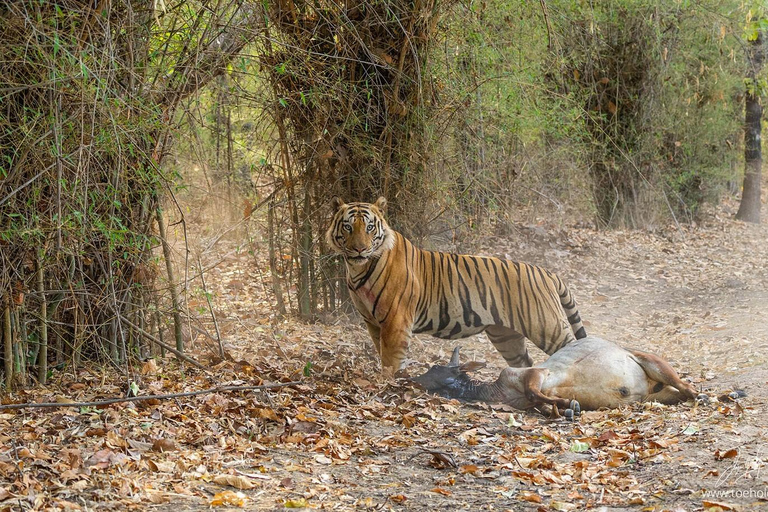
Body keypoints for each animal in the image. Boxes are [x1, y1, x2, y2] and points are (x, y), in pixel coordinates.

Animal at [326, 197, 587, 372]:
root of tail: (547, 272)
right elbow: (381, 353)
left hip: (547, 326)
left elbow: (391, 361)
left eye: (370, 227)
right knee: (525, 362)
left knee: (574, 348)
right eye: (348, 226)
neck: (358, 269)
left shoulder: (396, 321)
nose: (359, 249)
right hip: (506, 337)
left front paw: (388, 383)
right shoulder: (372, 322)